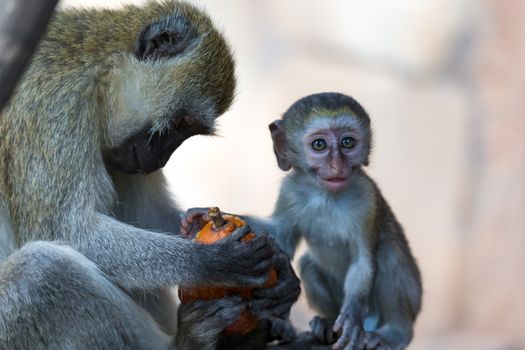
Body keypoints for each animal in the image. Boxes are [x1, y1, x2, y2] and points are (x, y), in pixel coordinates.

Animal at [184, 91, 422, 348]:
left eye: (348, 142)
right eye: (319, 145)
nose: (337, 165)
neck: (325, 195)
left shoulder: (367, 198)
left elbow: (363, 262)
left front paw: (351, 317)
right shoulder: (290, 191)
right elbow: (280, 238)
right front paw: (203, 215)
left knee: (388, 253)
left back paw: (394, 333)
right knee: (308, 263)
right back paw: (327, 323)